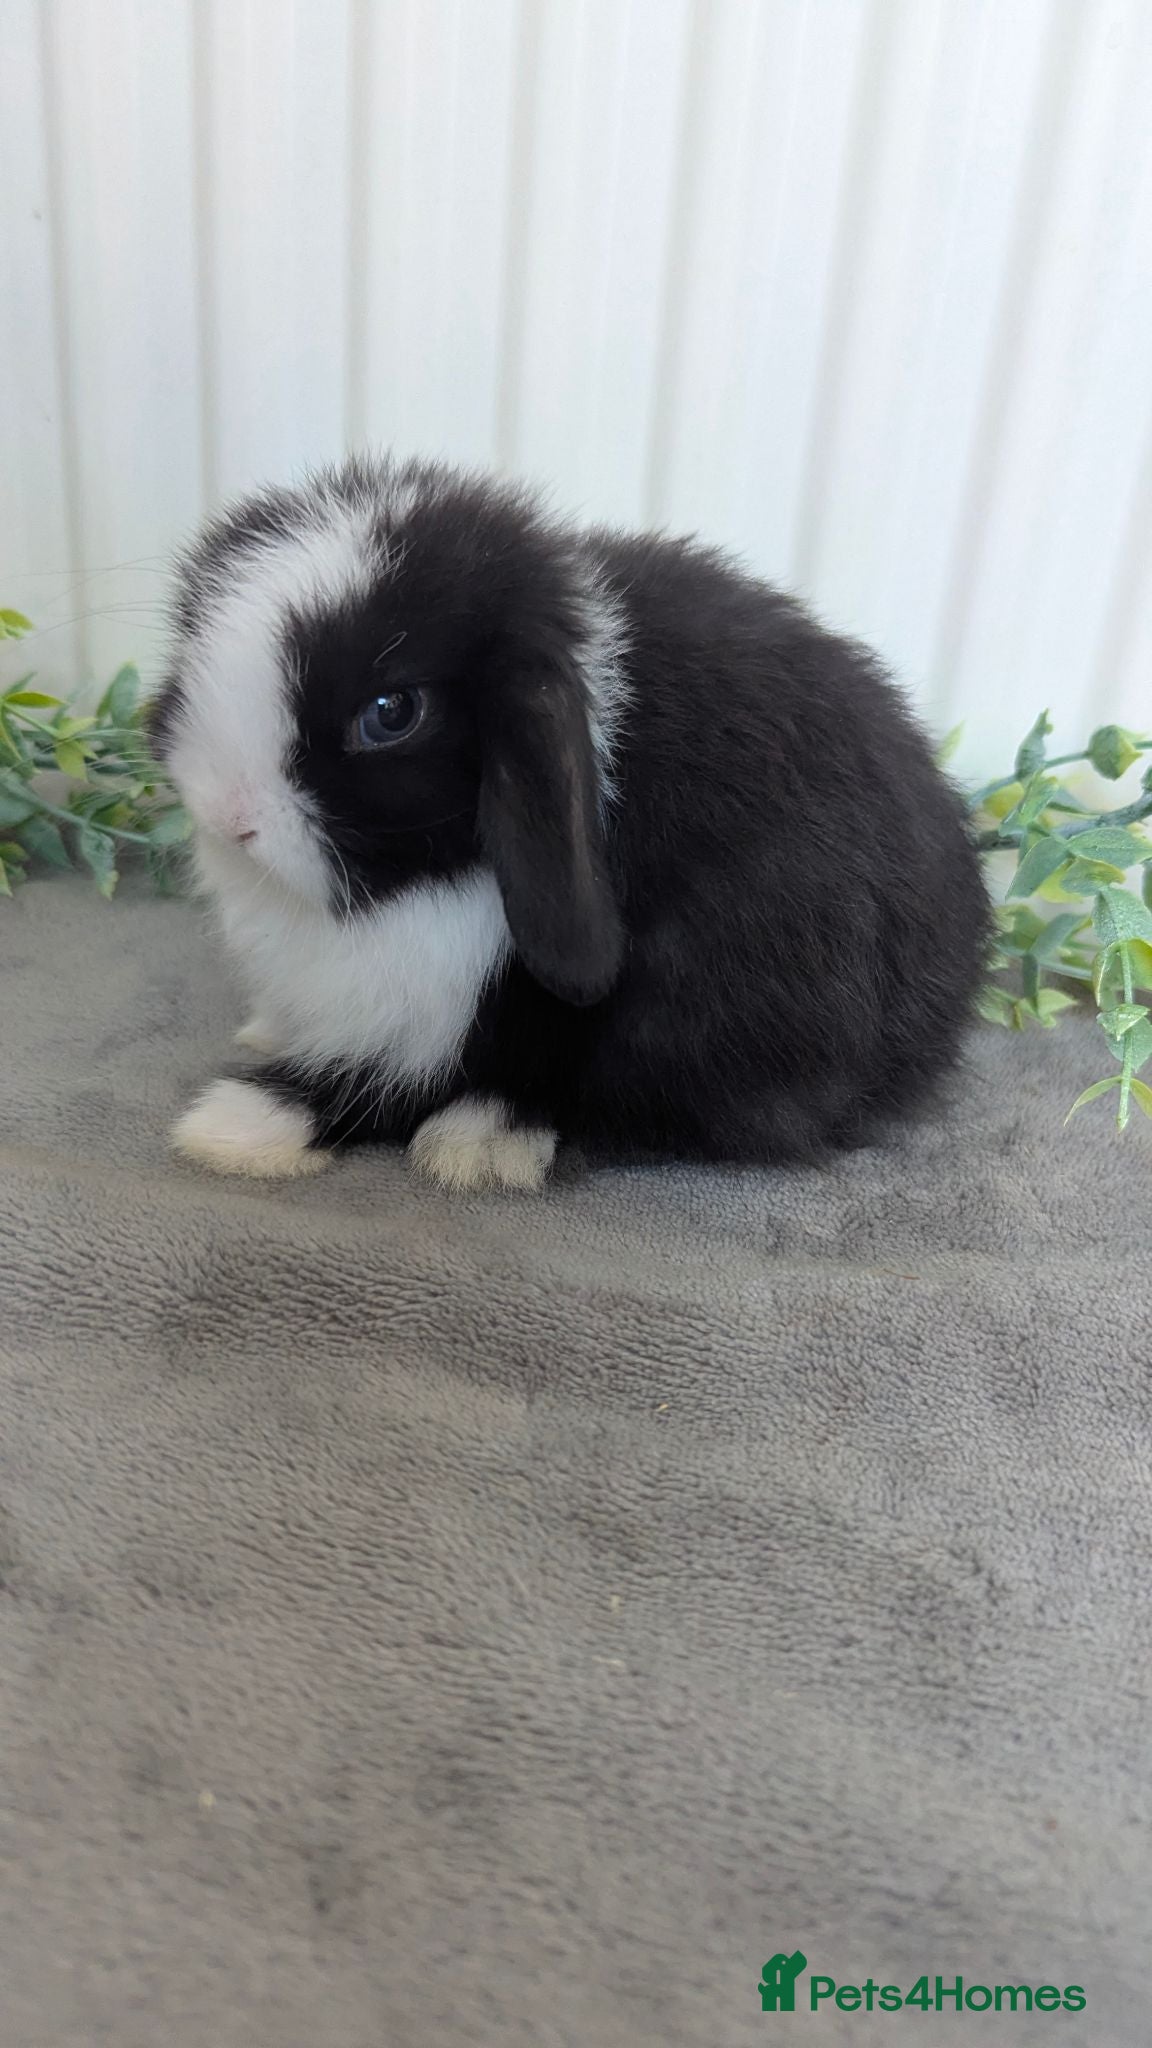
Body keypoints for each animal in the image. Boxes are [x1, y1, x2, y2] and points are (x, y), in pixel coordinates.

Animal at [148, 453, 990, 1192]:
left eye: (391, 712)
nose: (225, 812)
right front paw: (265, 1037)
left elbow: (404, 1082)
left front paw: (239, 1125)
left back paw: (484, 1140)